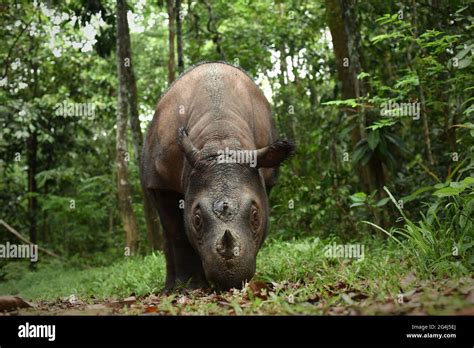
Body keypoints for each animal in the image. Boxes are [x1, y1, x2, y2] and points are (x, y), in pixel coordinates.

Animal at [141, 61, 294, 290]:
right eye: (196, 219)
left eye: (255, 215)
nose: (230, 277)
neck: (220, 137)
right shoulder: (161, 183)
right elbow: (178, 234)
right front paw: (189, 287)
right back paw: (170, 289)